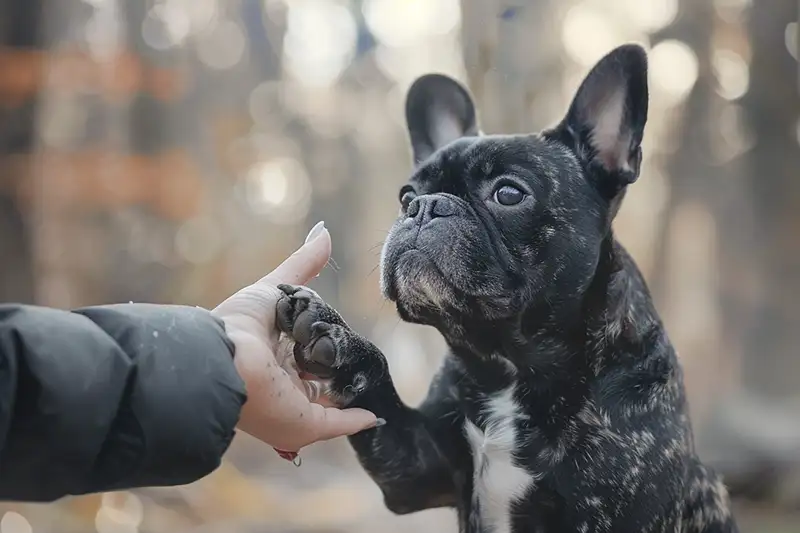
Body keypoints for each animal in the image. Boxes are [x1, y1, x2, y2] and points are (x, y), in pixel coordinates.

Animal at [278, 43, 740, 528]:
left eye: (509, 194)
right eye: (406, 196)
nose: (424, 207)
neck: (508, 363)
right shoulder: (414, 467)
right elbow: (378, 394)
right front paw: (338, 341)